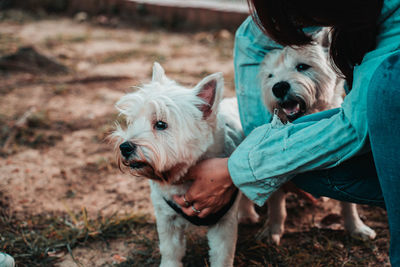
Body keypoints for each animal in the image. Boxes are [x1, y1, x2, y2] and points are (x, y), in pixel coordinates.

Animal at [111, 63, 260, 267]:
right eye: (132, 121)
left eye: (160, 124)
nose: (124, 147)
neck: (181, 177)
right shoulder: (167, 219)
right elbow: (170, 251)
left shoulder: (224, 224)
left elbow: (222, 254)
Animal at [258, 41, 376, 245]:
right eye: (270, 75)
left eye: (302, 66)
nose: (279, 87)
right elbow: (276, 206)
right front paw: (272, 230)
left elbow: (348, 204)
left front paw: (356, 227)